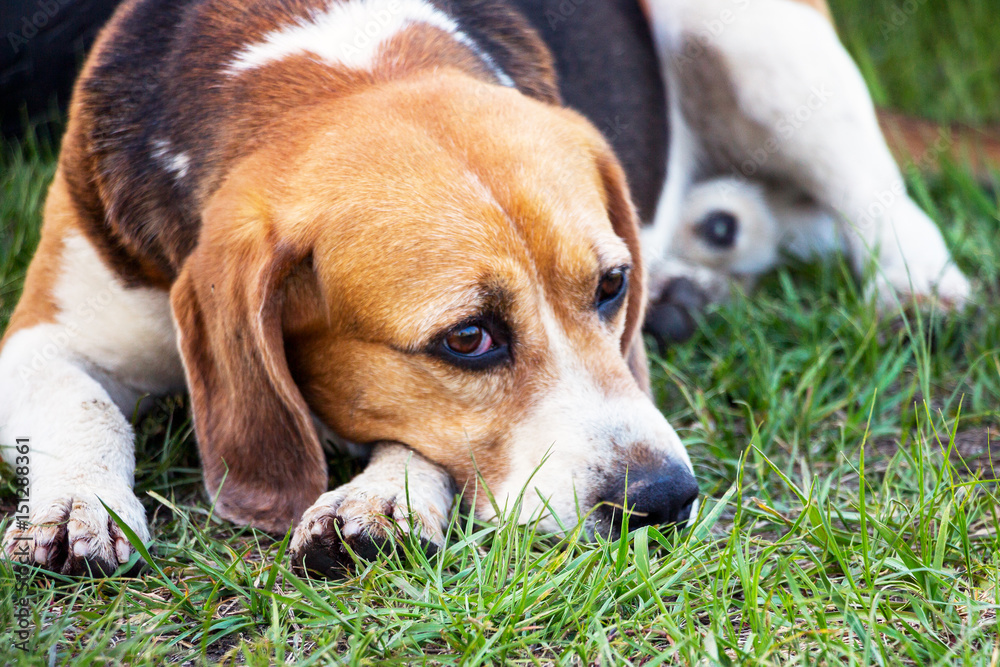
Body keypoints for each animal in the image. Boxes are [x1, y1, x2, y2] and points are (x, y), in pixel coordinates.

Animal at [0, 0, 976, 576]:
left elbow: (418, 442)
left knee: (878, 198)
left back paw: (917, 290)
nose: (664, 499)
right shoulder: (38, 335)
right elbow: (85, 402)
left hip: (760, 38)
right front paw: (74, 506)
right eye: (467, 339)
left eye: (610, 284)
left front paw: (380, 497)